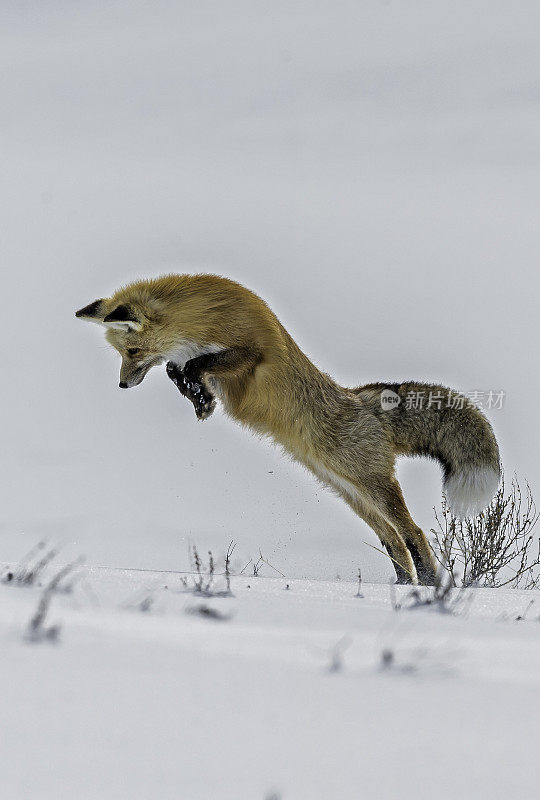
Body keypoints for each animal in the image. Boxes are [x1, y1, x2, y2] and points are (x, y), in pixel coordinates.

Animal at [74, 274, 500, 580]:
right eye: (121, 354)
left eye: (133, 352)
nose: (122, 385)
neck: (205, 318)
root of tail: (361, 399)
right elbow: (177, 368)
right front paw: (199, 398)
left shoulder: (251, 355)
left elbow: (199, 362)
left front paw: (198, 391)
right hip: (350, 492)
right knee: (394, 540)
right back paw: (406, 587)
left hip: (372, 486)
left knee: (413, 533)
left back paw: (427, 586)